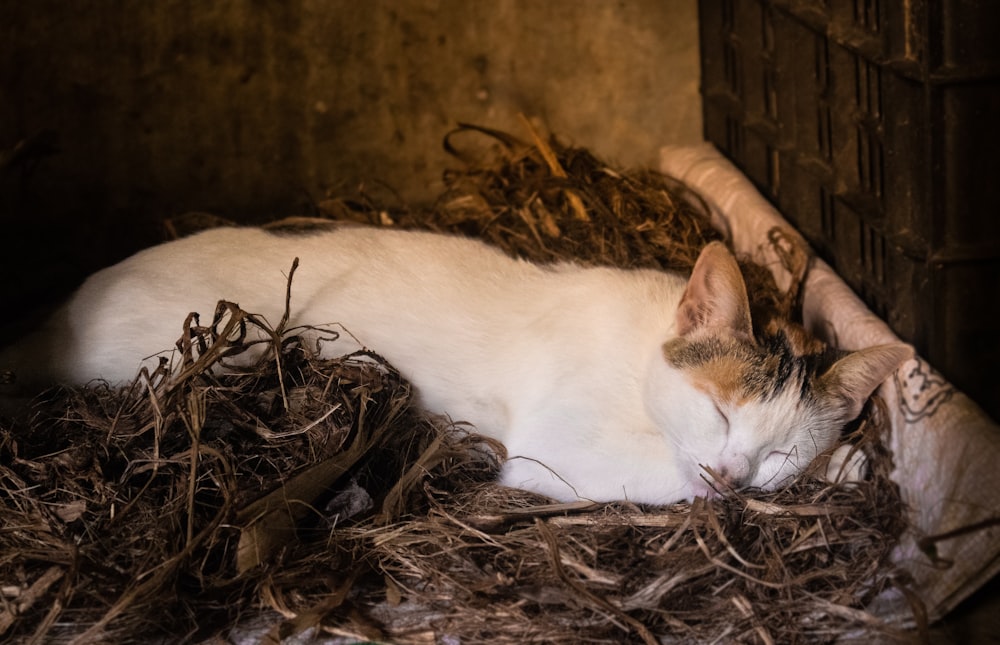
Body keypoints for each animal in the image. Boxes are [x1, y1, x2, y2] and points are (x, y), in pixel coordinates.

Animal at [0, 226, 912, 504]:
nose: (732, 471)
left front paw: (842, 461)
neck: (640, 356)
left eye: (779, 448)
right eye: (719, 410)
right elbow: (670, 480)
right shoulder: (556, 447)